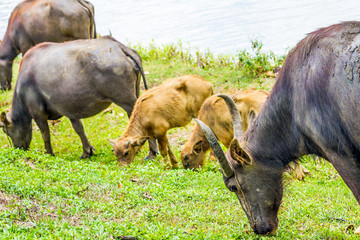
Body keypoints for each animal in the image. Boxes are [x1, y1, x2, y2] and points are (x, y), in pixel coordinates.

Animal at [0, 35, 155, 159]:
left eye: (6, 131)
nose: (18, 149)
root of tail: (119, 47)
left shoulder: (37, 112)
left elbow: (45, 134)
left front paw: (49, 153)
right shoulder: (70, 109)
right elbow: (79, 128)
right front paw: (87, 151)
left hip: (125, 99)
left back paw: (152, 153)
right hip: (136, 93)